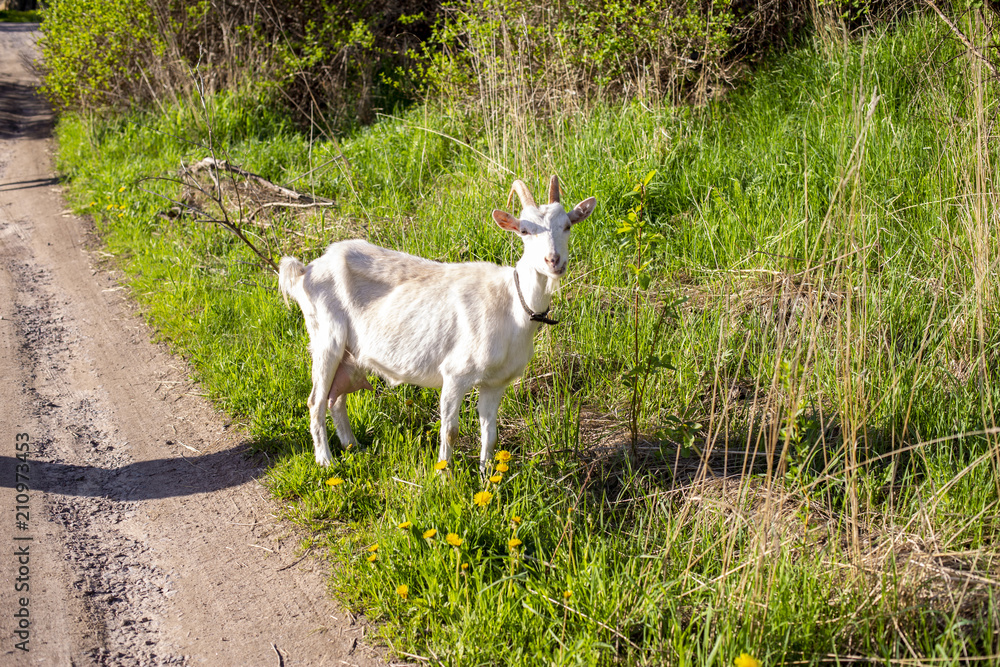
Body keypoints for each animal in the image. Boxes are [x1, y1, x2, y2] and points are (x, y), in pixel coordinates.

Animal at [278, 176, 597, 471]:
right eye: (525, 231)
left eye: (567, 225)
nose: (554, 260)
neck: (511, 304)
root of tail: (306, 270)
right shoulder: (455, 374)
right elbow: (451, 431)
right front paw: (445, 476)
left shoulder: (495, 382)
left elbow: (490, 434)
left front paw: (487, 476)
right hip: (326, 338)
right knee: (316, 401)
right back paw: (326, 461)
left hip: (348, 353)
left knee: (336, 399)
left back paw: (353, 447)